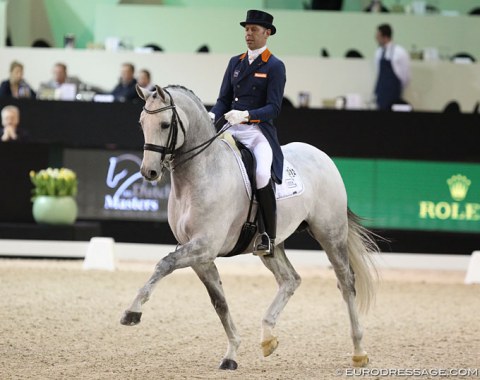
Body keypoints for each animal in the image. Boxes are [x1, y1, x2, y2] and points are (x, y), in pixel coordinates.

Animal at [120, 84, 378, 370]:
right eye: (142, 123)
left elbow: (164, 264)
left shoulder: (204, 246)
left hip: (330, 233)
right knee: (290, 280)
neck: (202, 172)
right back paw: (267, 337)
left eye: (165, 124)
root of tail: (322, 156)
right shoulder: (199, 255)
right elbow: (219, 302)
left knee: (346, 282)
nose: (149, 172)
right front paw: (231, 354)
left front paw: (133, 312)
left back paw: (359, 351)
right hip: (271, 244)